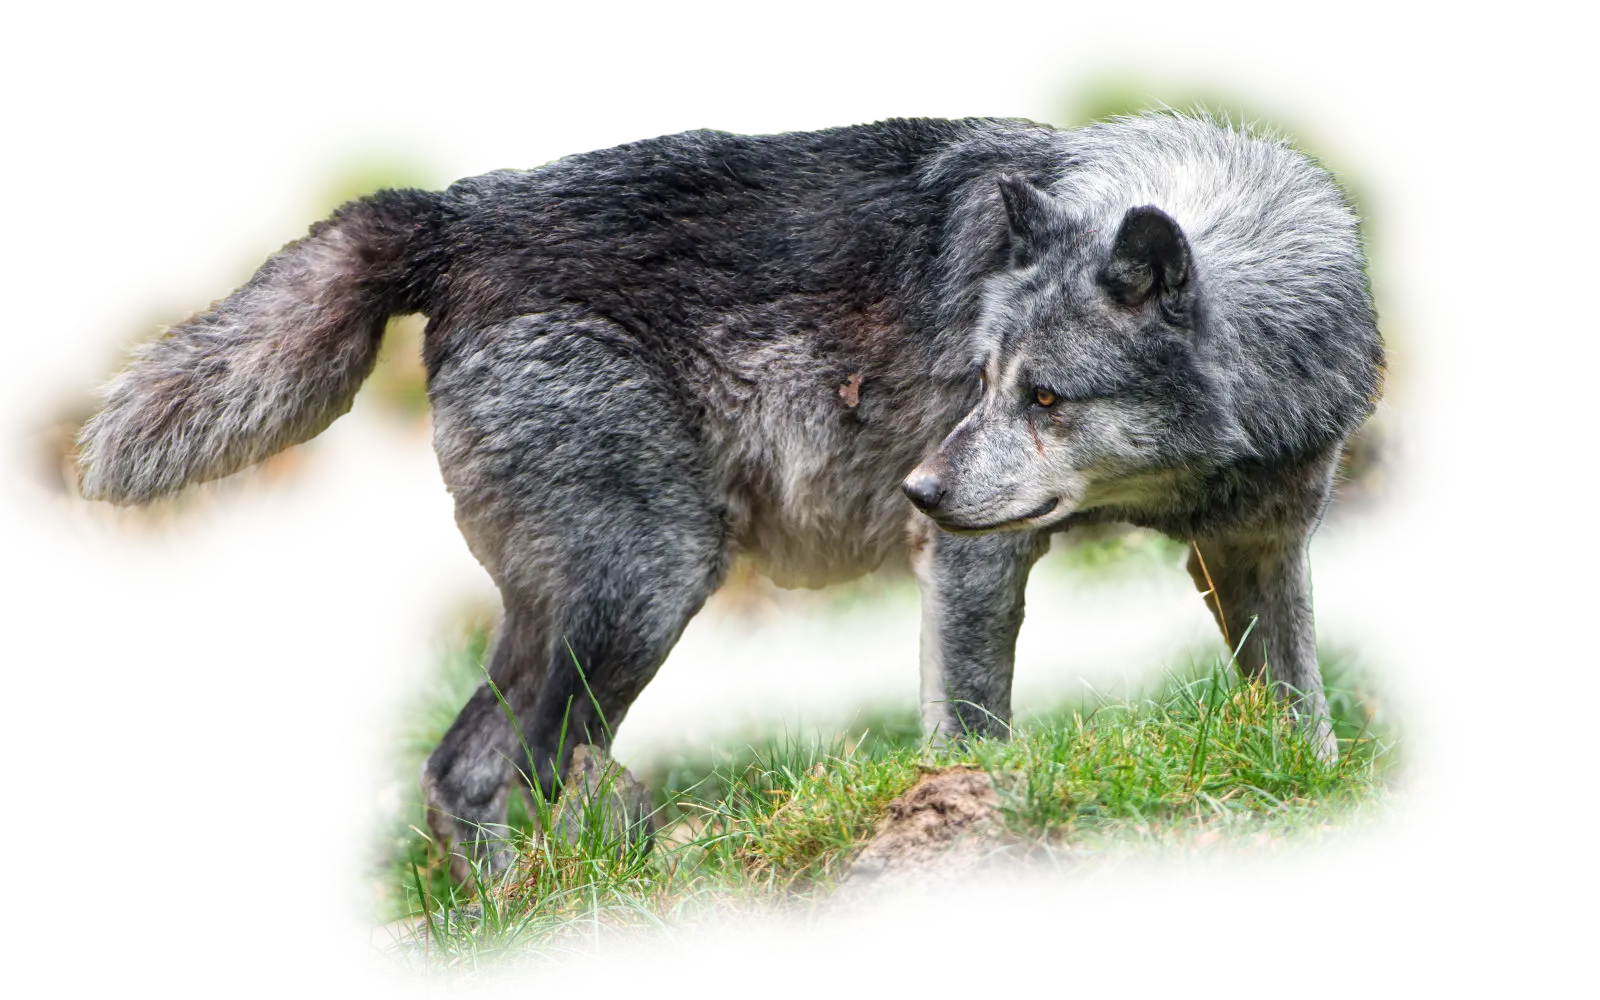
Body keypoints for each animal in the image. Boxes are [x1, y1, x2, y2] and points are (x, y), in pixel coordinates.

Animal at [76, 110, 1382, 880]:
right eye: (983, 379)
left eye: (1046, 396)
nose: (916, 486)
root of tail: (454, 213)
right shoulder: (970, 561)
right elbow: (973, 732)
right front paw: (975, 835)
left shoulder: (1259, 550)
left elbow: (1303, 716)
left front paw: (1309, 815)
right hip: (651, 586)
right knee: (530, 766)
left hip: (572, 602)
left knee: (459, 771)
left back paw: (502, 924)